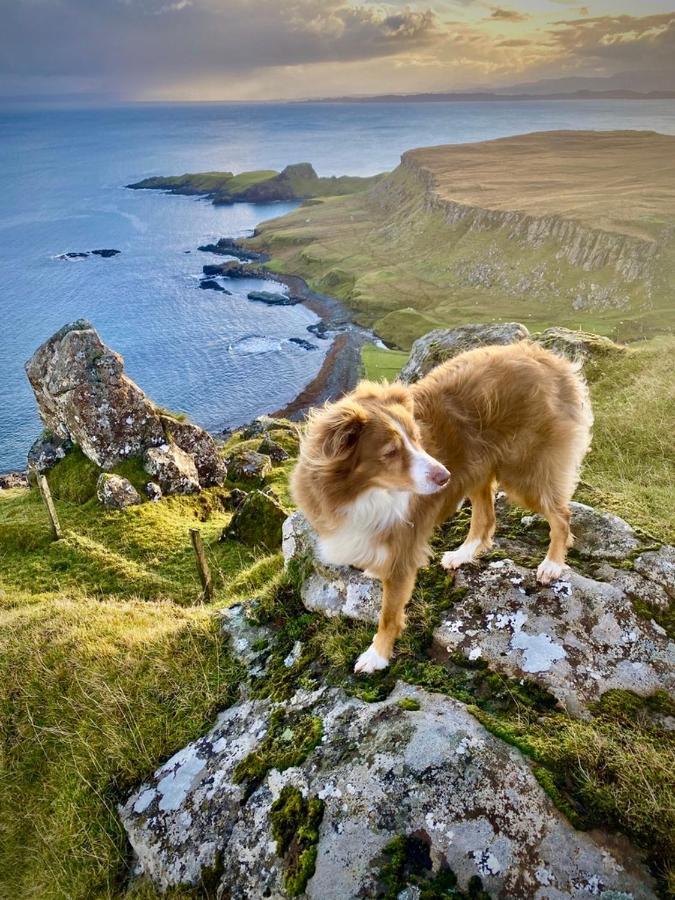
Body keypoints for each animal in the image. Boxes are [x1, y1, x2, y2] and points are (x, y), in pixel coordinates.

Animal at [290, 342, 592, 676]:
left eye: (417, 438)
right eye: (391, 452)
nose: (445, 476)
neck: (361, 493)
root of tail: (548, 357)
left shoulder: (404, 551)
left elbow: (389, 614)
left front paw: (377, 655)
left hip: (526, 472)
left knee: (561, 516)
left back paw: (552, 564)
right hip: (478, 466)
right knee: (486, 519)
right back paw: (463, 554)